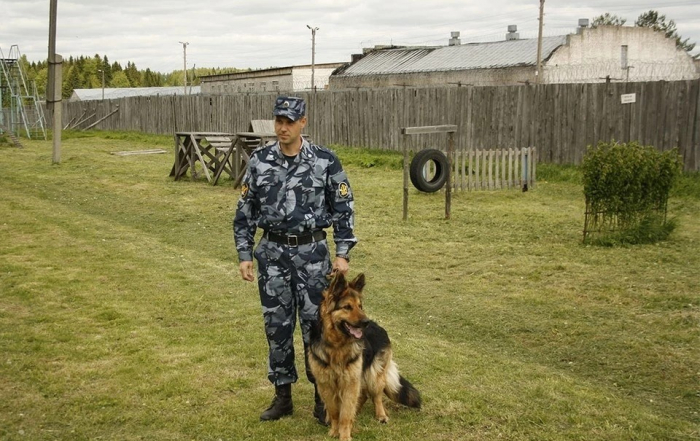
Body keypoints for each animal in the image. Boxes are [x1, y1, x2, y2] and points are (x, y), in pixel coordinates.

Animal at [308, 274, 418, 438]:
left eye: (360, 306)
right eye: (347, 307)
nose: (365, 322)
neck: (336, 346)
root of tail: (379, 327)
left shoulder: (349, 383)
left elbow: (345, 414)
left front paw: (345, 435)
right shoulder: (326, 384)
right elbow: (334, 411)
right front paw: (334, 431)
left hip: (374, 375)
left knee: (376, 396)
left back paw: (381, 415)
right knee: (363, 395)